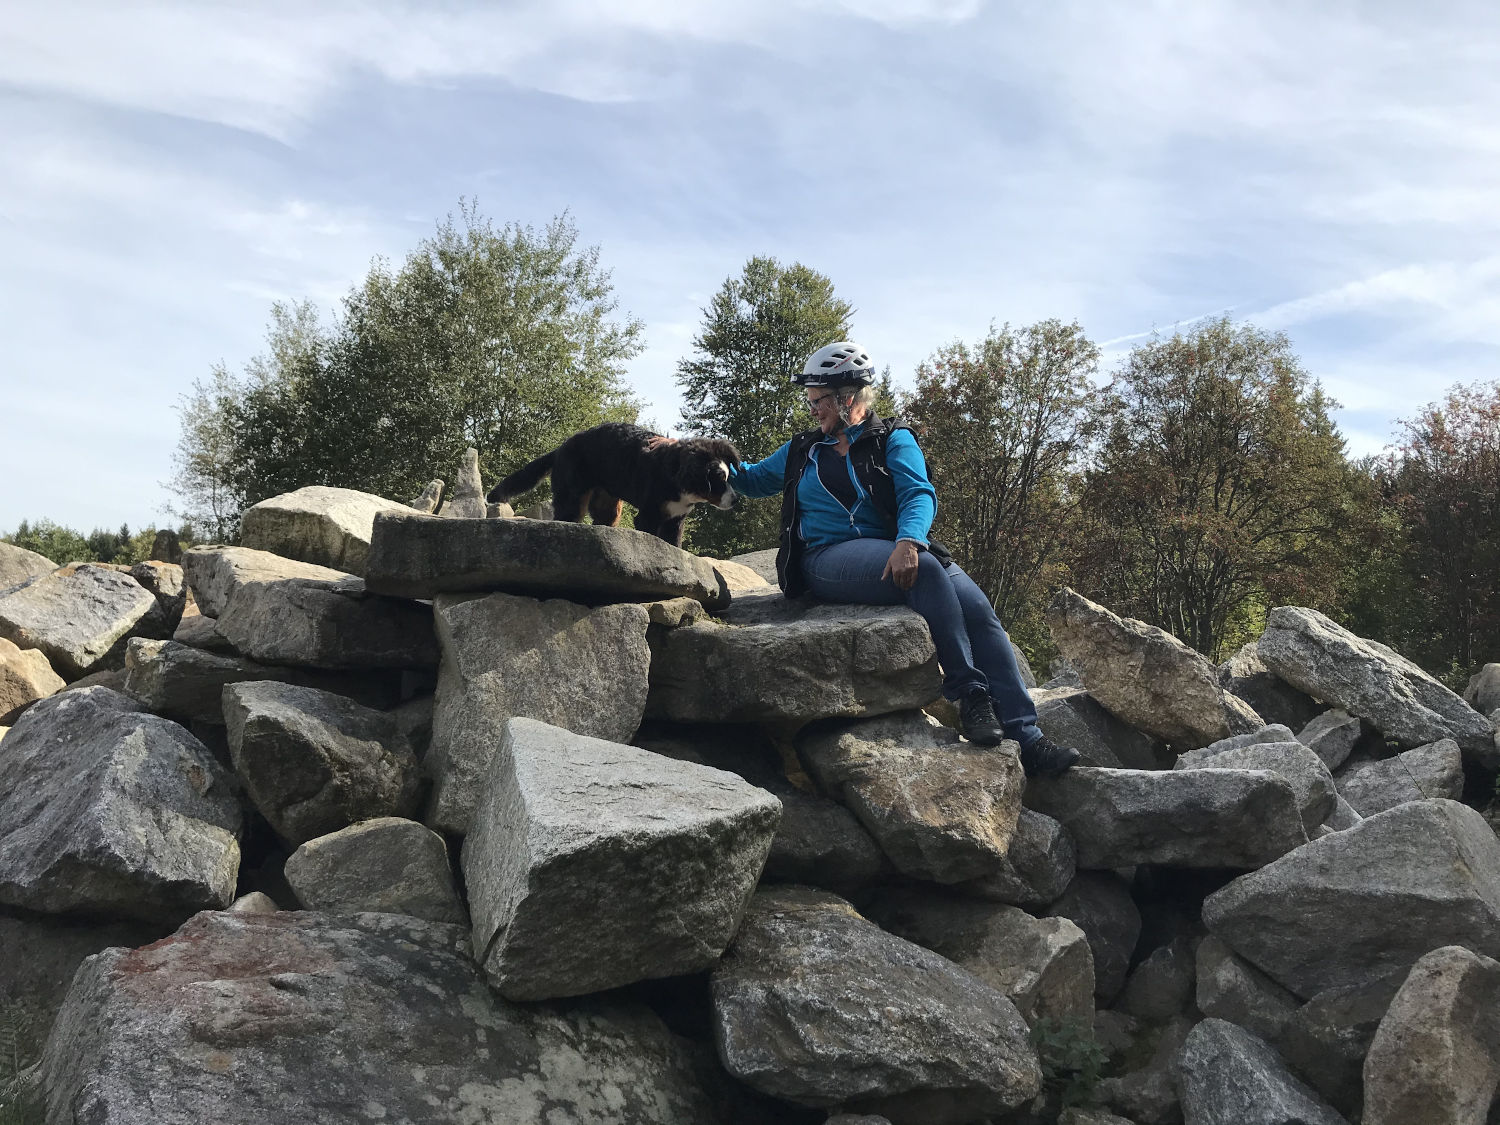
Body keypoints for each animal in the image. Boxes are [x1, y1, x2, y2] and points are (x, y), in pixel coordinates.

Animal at [487, 423, 741, 546]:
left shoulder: (675, 519)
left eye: (729, 477)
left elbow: (674, 544)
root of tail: (560, 449)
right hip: (573, 497)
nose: (736, 499)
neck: (675, 475)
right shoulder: (649, 515)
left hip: (607, 505)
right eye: (718, 479)